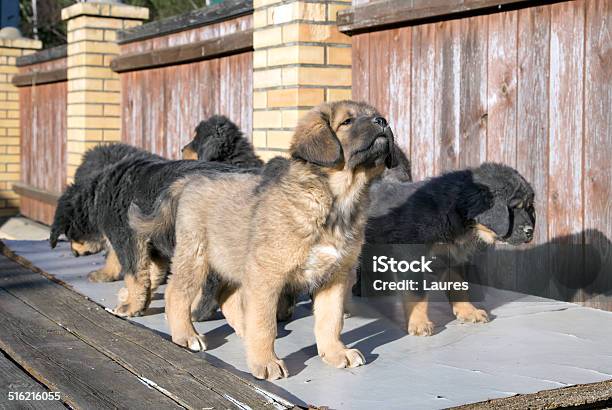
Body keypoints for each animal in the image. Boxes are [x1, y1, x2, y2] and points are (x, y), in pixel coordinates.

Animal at [129, 101, 396, 380]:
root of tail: (189, 180)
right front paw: (266, 362)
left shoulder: (335, 276)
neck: (337, 201)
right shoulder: (266, 273)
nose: (383, 121)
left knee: (226, 296)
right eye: (347, 122)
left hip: (230, 255)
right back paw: (186, 335)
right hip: (196, 255)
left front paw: (335, 353)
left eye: (376, 116)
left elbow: (331, 320)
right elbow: (265, 323)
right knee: (177, 292)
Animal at [358, 163, 536, 336]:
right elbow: (416, 293)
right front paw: (419, 322)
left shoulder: (451, 255)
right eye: (513, 208)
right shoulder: (410, 255)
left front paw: (468, 311)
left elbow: (458, 286)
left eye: (529, 208)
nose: (530, 231)